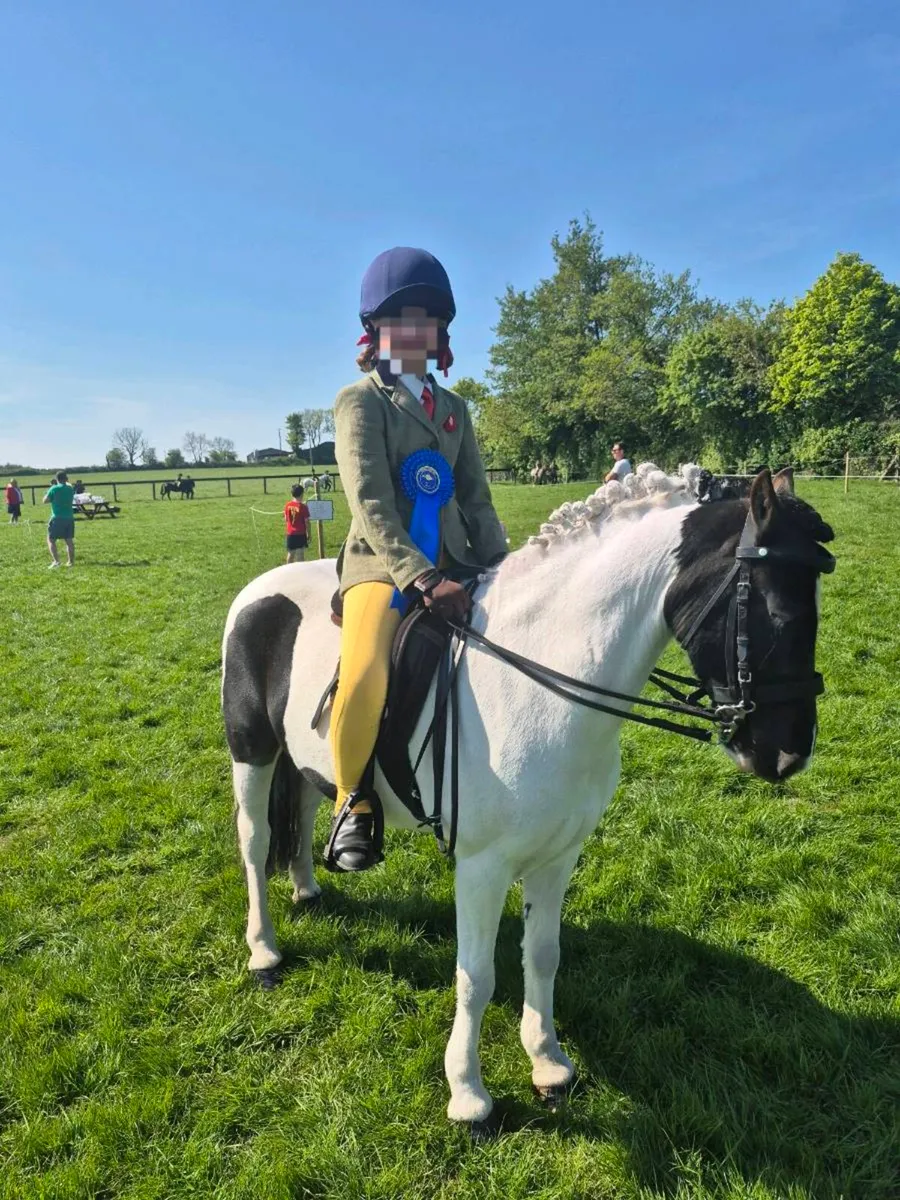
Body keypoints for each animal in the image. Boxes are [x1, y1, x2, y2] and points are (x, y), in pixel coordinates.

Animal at [220, 464, 835, 1132]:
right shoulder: (481, 866)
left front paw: (548, 1063)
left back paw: (309, 887)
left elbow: (542, 954)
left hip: (303, 762)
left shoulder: (558, 854)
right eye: (775, 610)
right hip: (252, 751)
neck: (543, 678)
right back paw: (263, 951)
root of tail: (260, 589)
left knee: (307, 812)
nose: (788, 755)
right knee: (254, 843)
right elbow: (476, 975)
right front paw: (468, 1094)